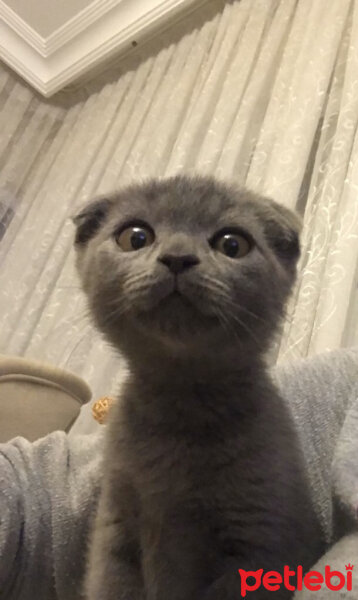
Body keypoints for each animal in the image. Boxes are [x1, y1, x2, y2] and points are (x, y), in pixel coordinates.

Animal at [73, 175, 324, 600]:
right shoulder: (115, 527)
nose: (177, 257)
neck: (180, 403)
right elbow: (113, 584)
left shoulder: (261, 541)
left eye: (232, 244)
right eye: (135, 237)